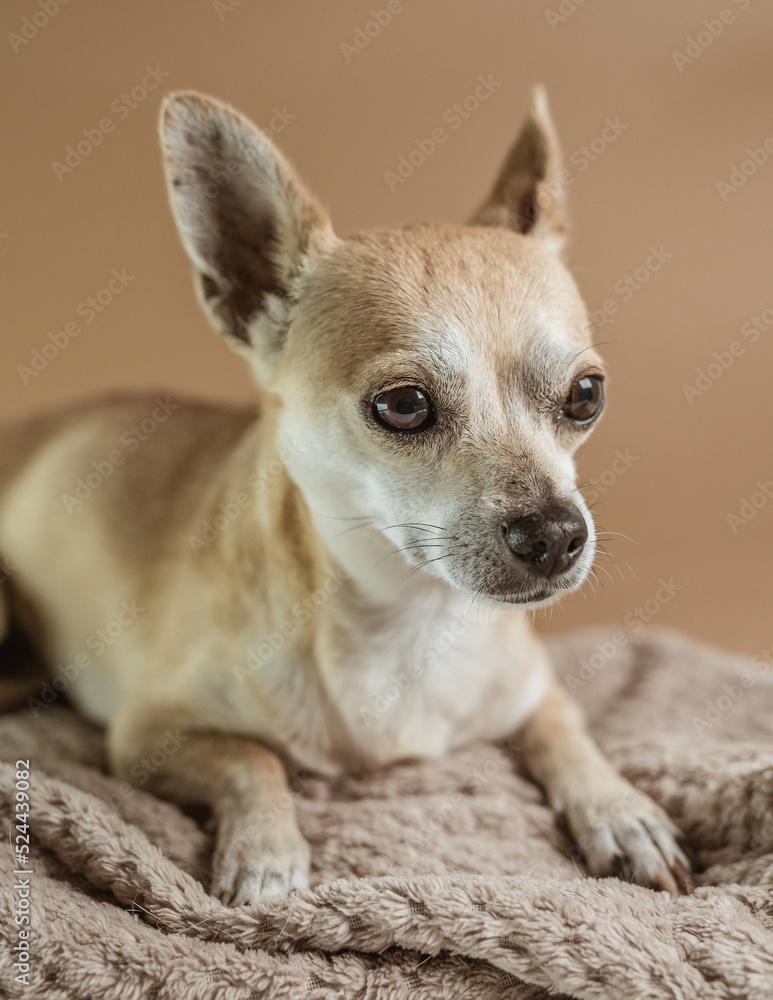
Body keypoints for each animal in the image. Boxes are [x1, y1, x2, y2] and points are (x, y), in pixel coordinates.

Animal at [0, 88, 688, 908]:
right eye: (404, 405)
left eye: (586, 395)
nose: (557, 532)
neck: (411, 626)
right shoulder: (142, 736)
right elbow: (253, 760)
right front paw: (267, 857)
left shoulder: (537, 692)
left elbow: (570, 736)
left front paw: (622, 813)